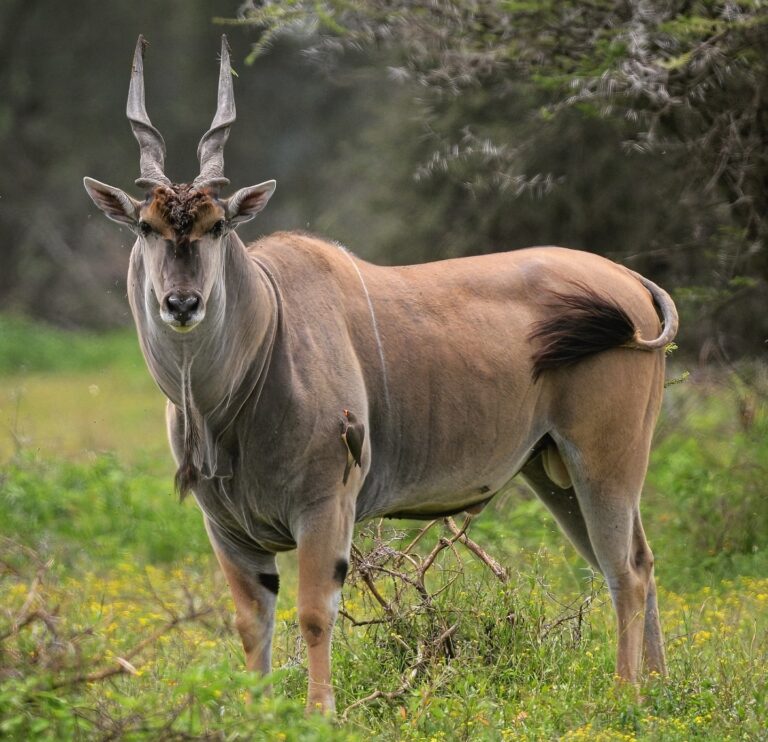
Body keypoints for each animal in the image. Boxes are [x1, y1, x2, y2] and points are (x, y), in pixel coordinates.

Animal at [84, 36, 678, 713]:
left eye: (217, 226)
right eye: (147, 226)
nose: (181, 303)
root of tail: (630, 280)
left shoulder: (325, 507)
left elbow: (315, 614)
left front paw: (319, 714)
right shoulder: (228, 529)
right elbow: (251, 624)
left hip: (603, 462)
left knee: (624, 571)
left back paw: (625, 694)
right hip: (555, 473)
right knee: (638, 559)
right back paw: (661, 687)